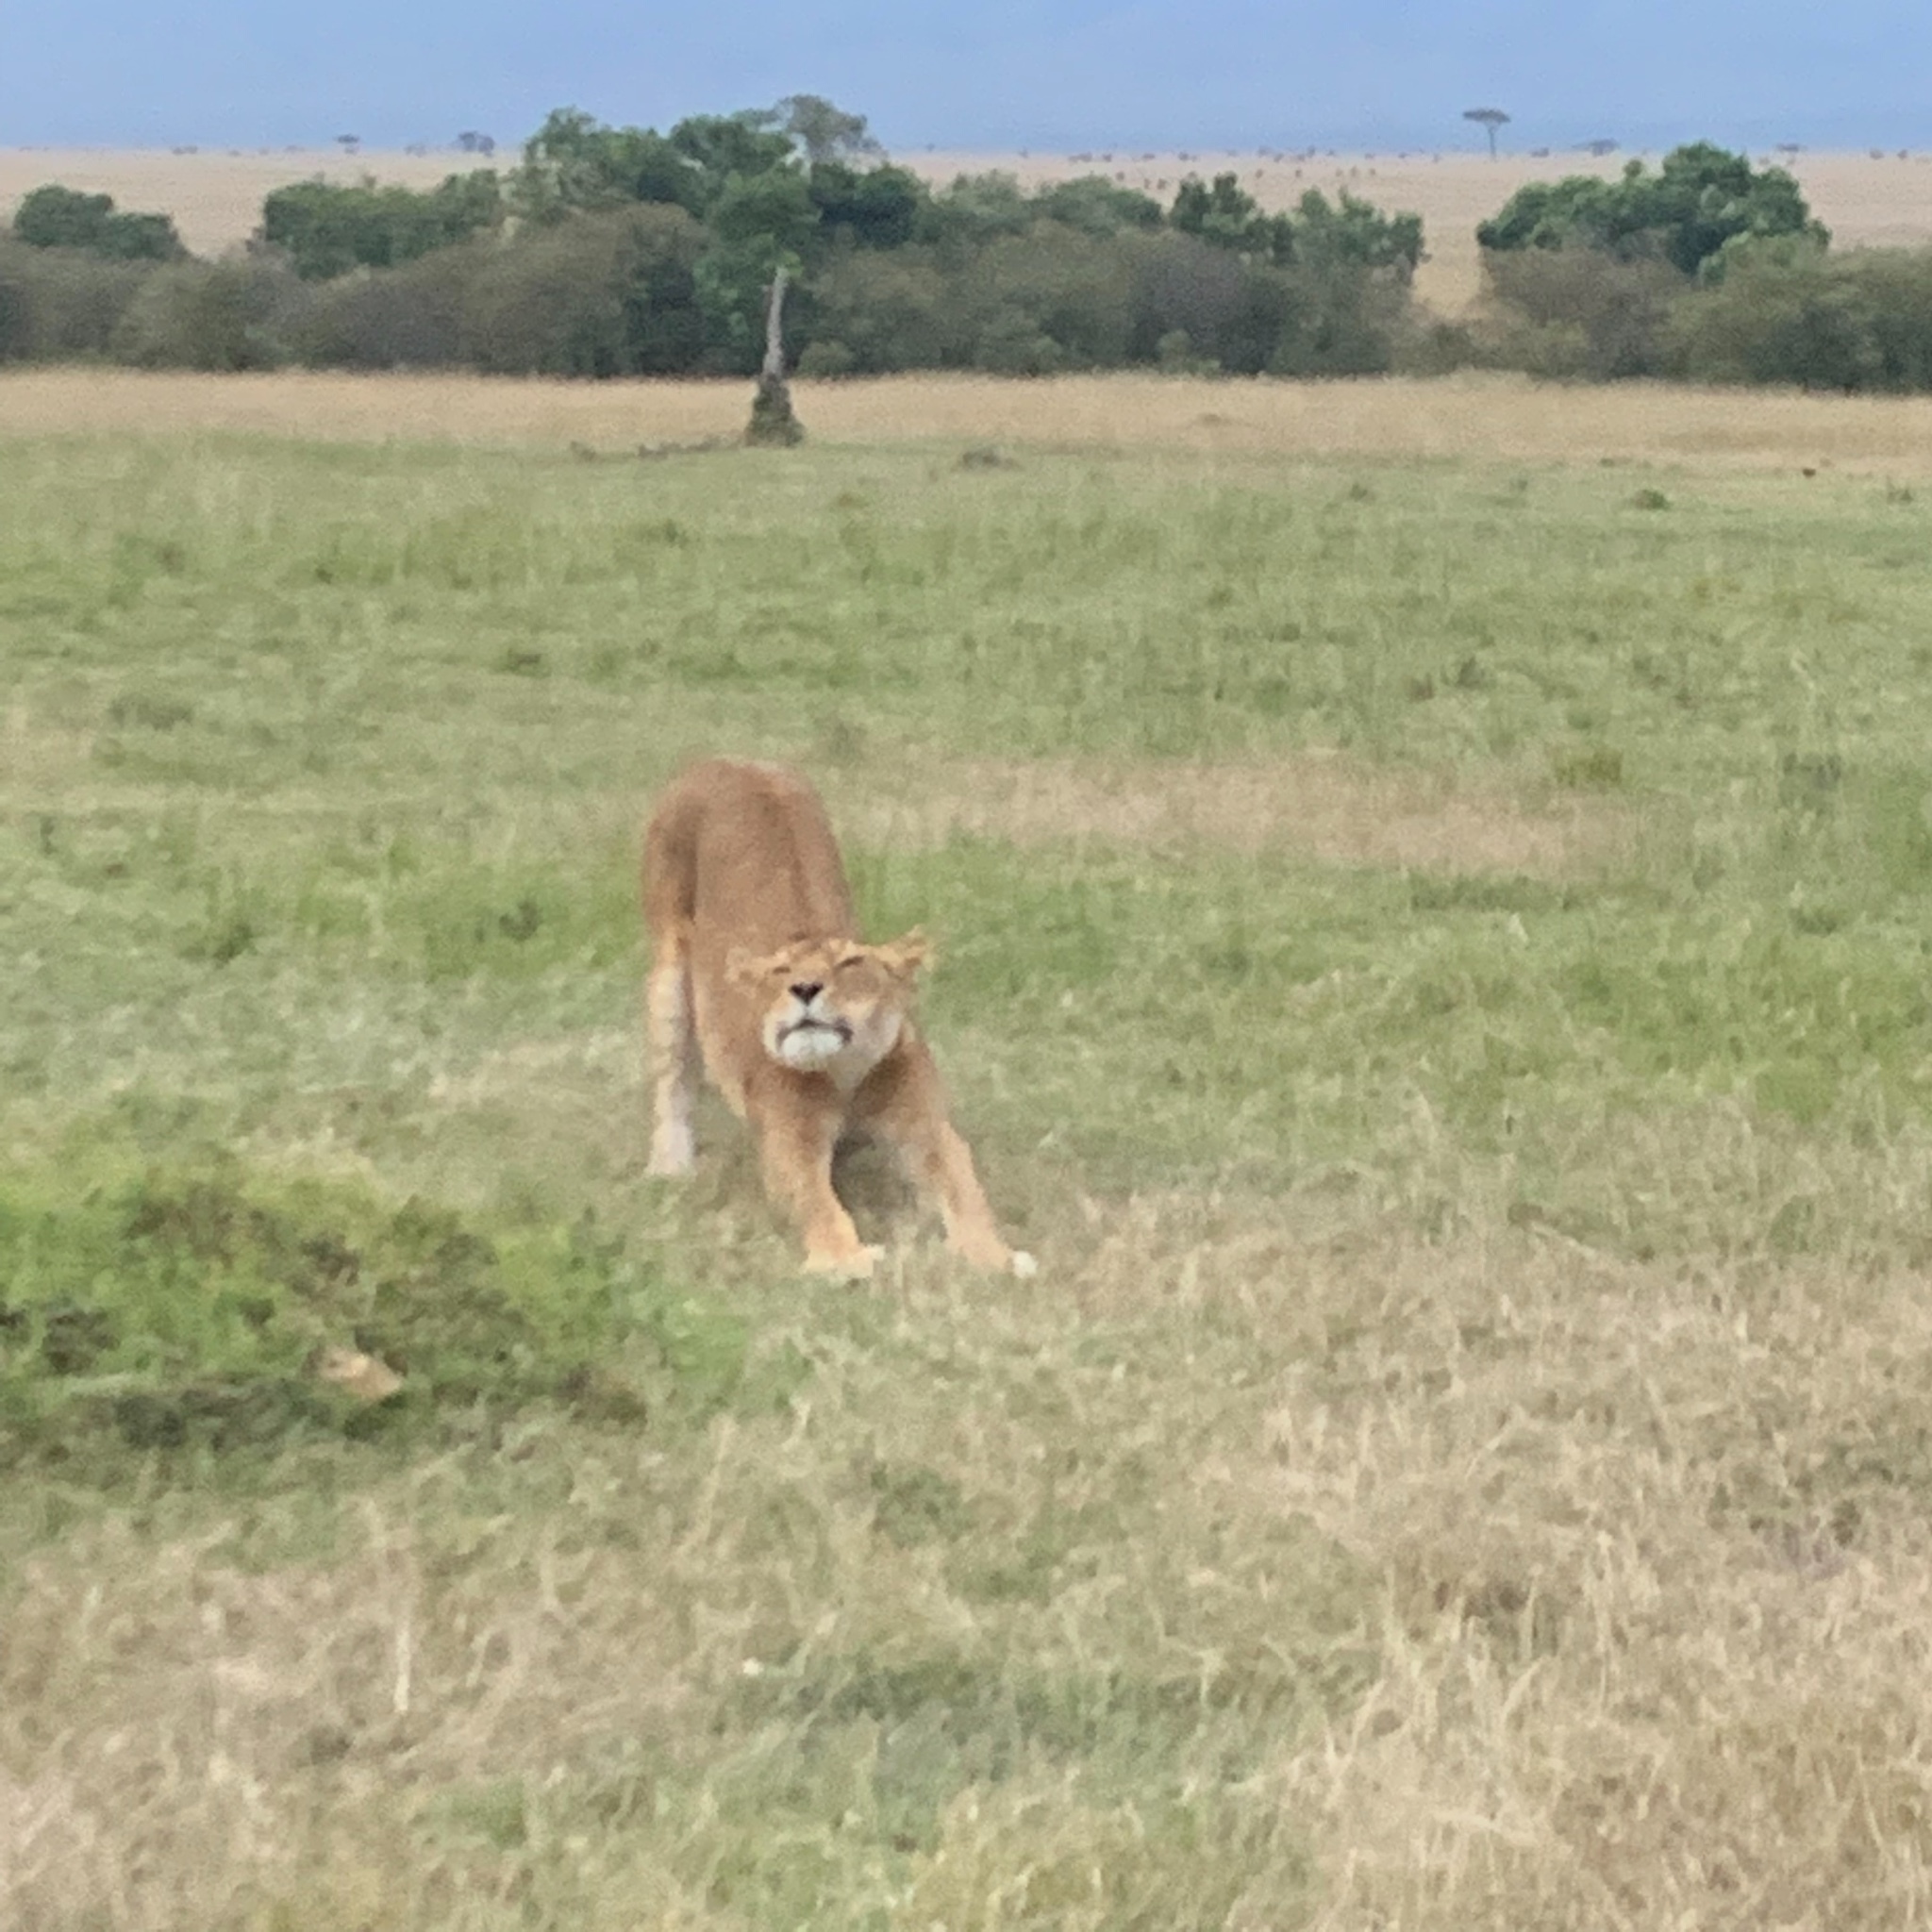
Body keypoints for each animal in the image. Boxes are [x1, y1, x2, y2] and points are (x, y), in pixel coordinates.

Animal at [641, 757, 1035, 1282]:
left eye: (849, 964)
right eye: (780, 971)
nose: (805, 988)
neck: (844, 1069)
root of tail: (725, 760)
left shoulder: (927, 1127)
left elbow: (965, 1191)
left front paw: (998, 1257)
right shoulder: (790, 1141)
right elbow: (818, 1202)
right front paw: (848, 1260)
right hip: (669, 972)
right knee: (672, 1076)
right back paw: (670, 1167)